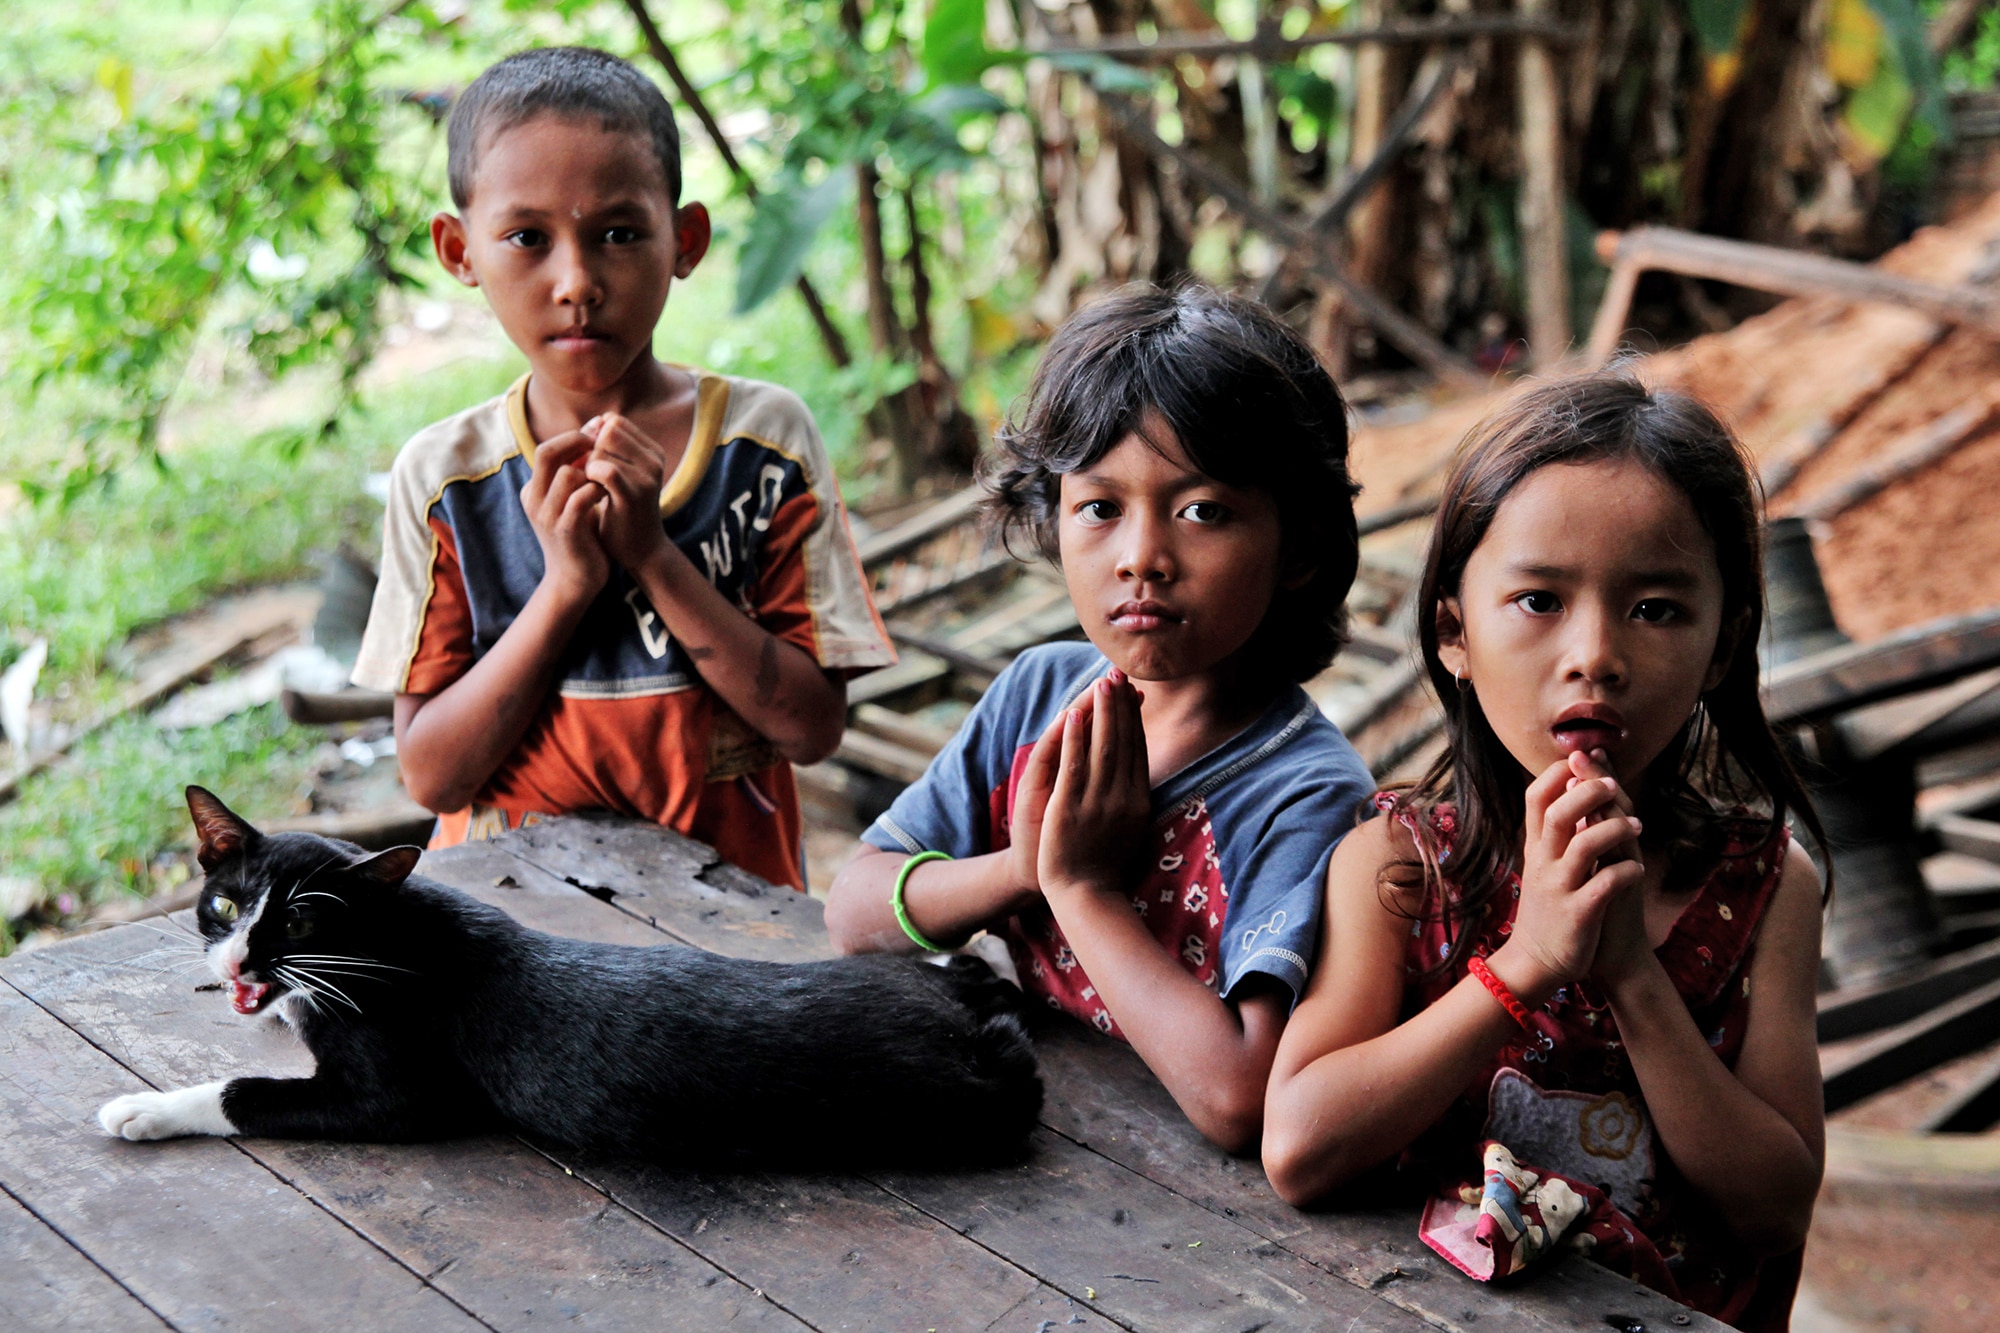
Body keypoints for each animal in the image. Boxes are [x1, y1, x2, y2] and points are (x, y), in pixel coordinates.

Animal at [103, 788, 1048, 1160]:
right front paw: (271, 1004)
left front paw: (145, 1108)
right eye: (225, 903)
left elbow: (245, 1091)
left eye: (300, 921)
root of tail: (972, 1029)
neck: (390, 938)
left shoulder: (401, 1093)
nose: (238, 957)